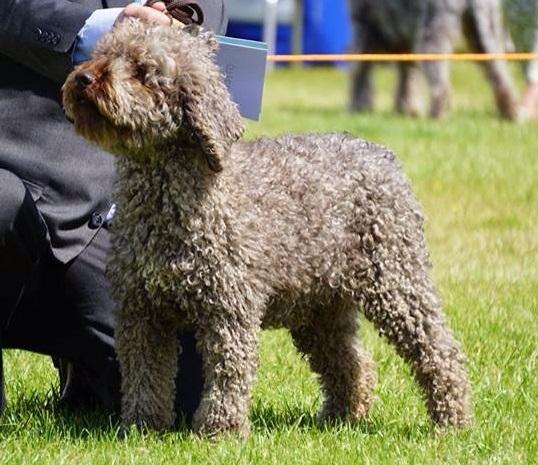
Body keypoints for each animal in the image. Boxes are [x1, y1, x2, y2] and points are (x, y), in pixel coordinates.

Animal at [61, 18, 468, 436]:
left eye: (143, 71)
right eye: (103, 53)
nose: (84, 78)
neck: (171, 205)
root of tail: (383, 155)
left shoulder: (228, 310)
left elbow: (228, 372)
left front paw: (220, 430)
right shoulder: (141, 312)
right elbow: (144, 375)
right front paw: (142, 426)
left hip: (396, 283)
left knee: (440, 351)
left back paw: (451, 420)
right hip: (320, 306)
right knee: (351, 362)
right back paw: (341, 416)